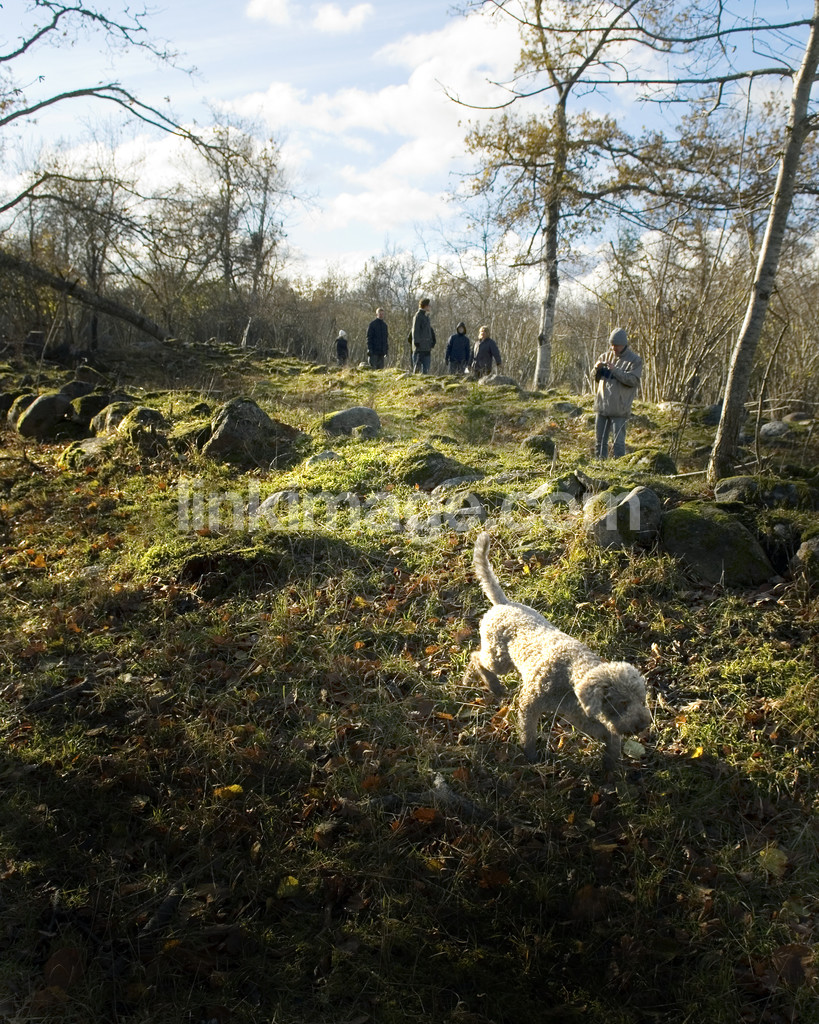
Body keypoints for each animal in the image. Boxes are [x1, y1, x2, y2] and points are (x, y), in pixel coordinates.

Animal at [463, 532, 651, 768]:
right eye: (622, 703)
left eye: (642, 701)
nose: (643, 726)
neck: (571, 673)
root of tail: (503, 603)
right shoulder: (529, 704)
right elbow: (528, 733)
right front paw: (531, 756)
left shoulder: (579, 714)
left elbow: (608, 734)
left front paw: (611, 763)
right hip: (499, 658)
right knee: (476, 657)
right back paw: (490, 684)